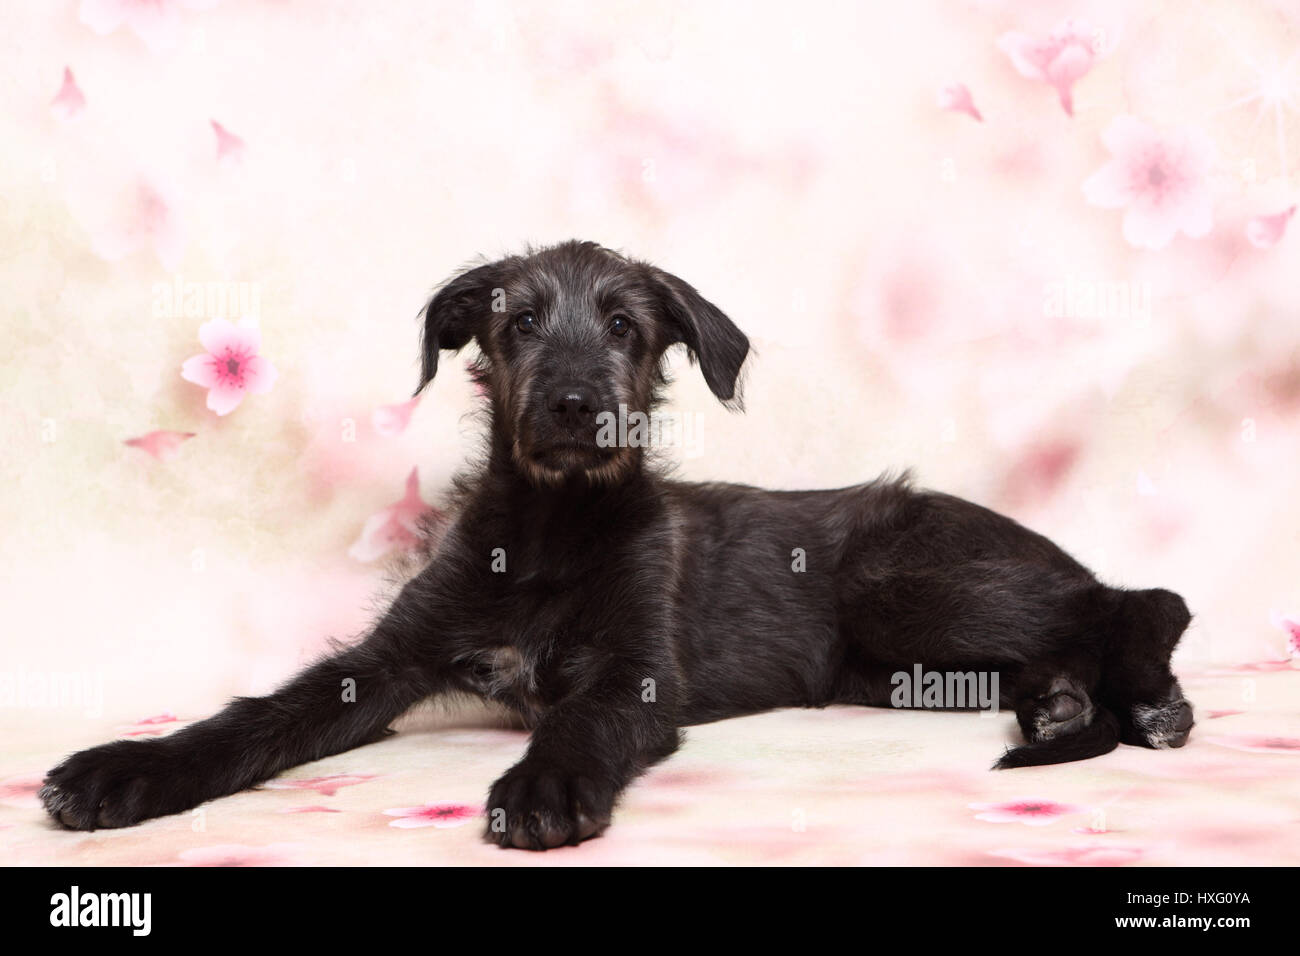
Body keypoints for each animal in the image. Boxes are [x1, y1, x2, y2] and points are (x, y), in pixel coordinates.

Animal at [40, 240, 1190, 853]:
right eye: (517, 323)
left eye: (628, 327)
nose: (575, 405)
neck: (553, 530)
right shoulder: (390, 656)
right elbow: (261, 713)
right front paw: (125, 769)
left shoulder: (635, 668)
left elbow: (584, 717)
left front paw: (543, 787)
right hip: (898, 662)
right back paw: (1069, 704)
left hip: (900, 583)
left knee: (1142, 599)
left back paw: (1144, 701)